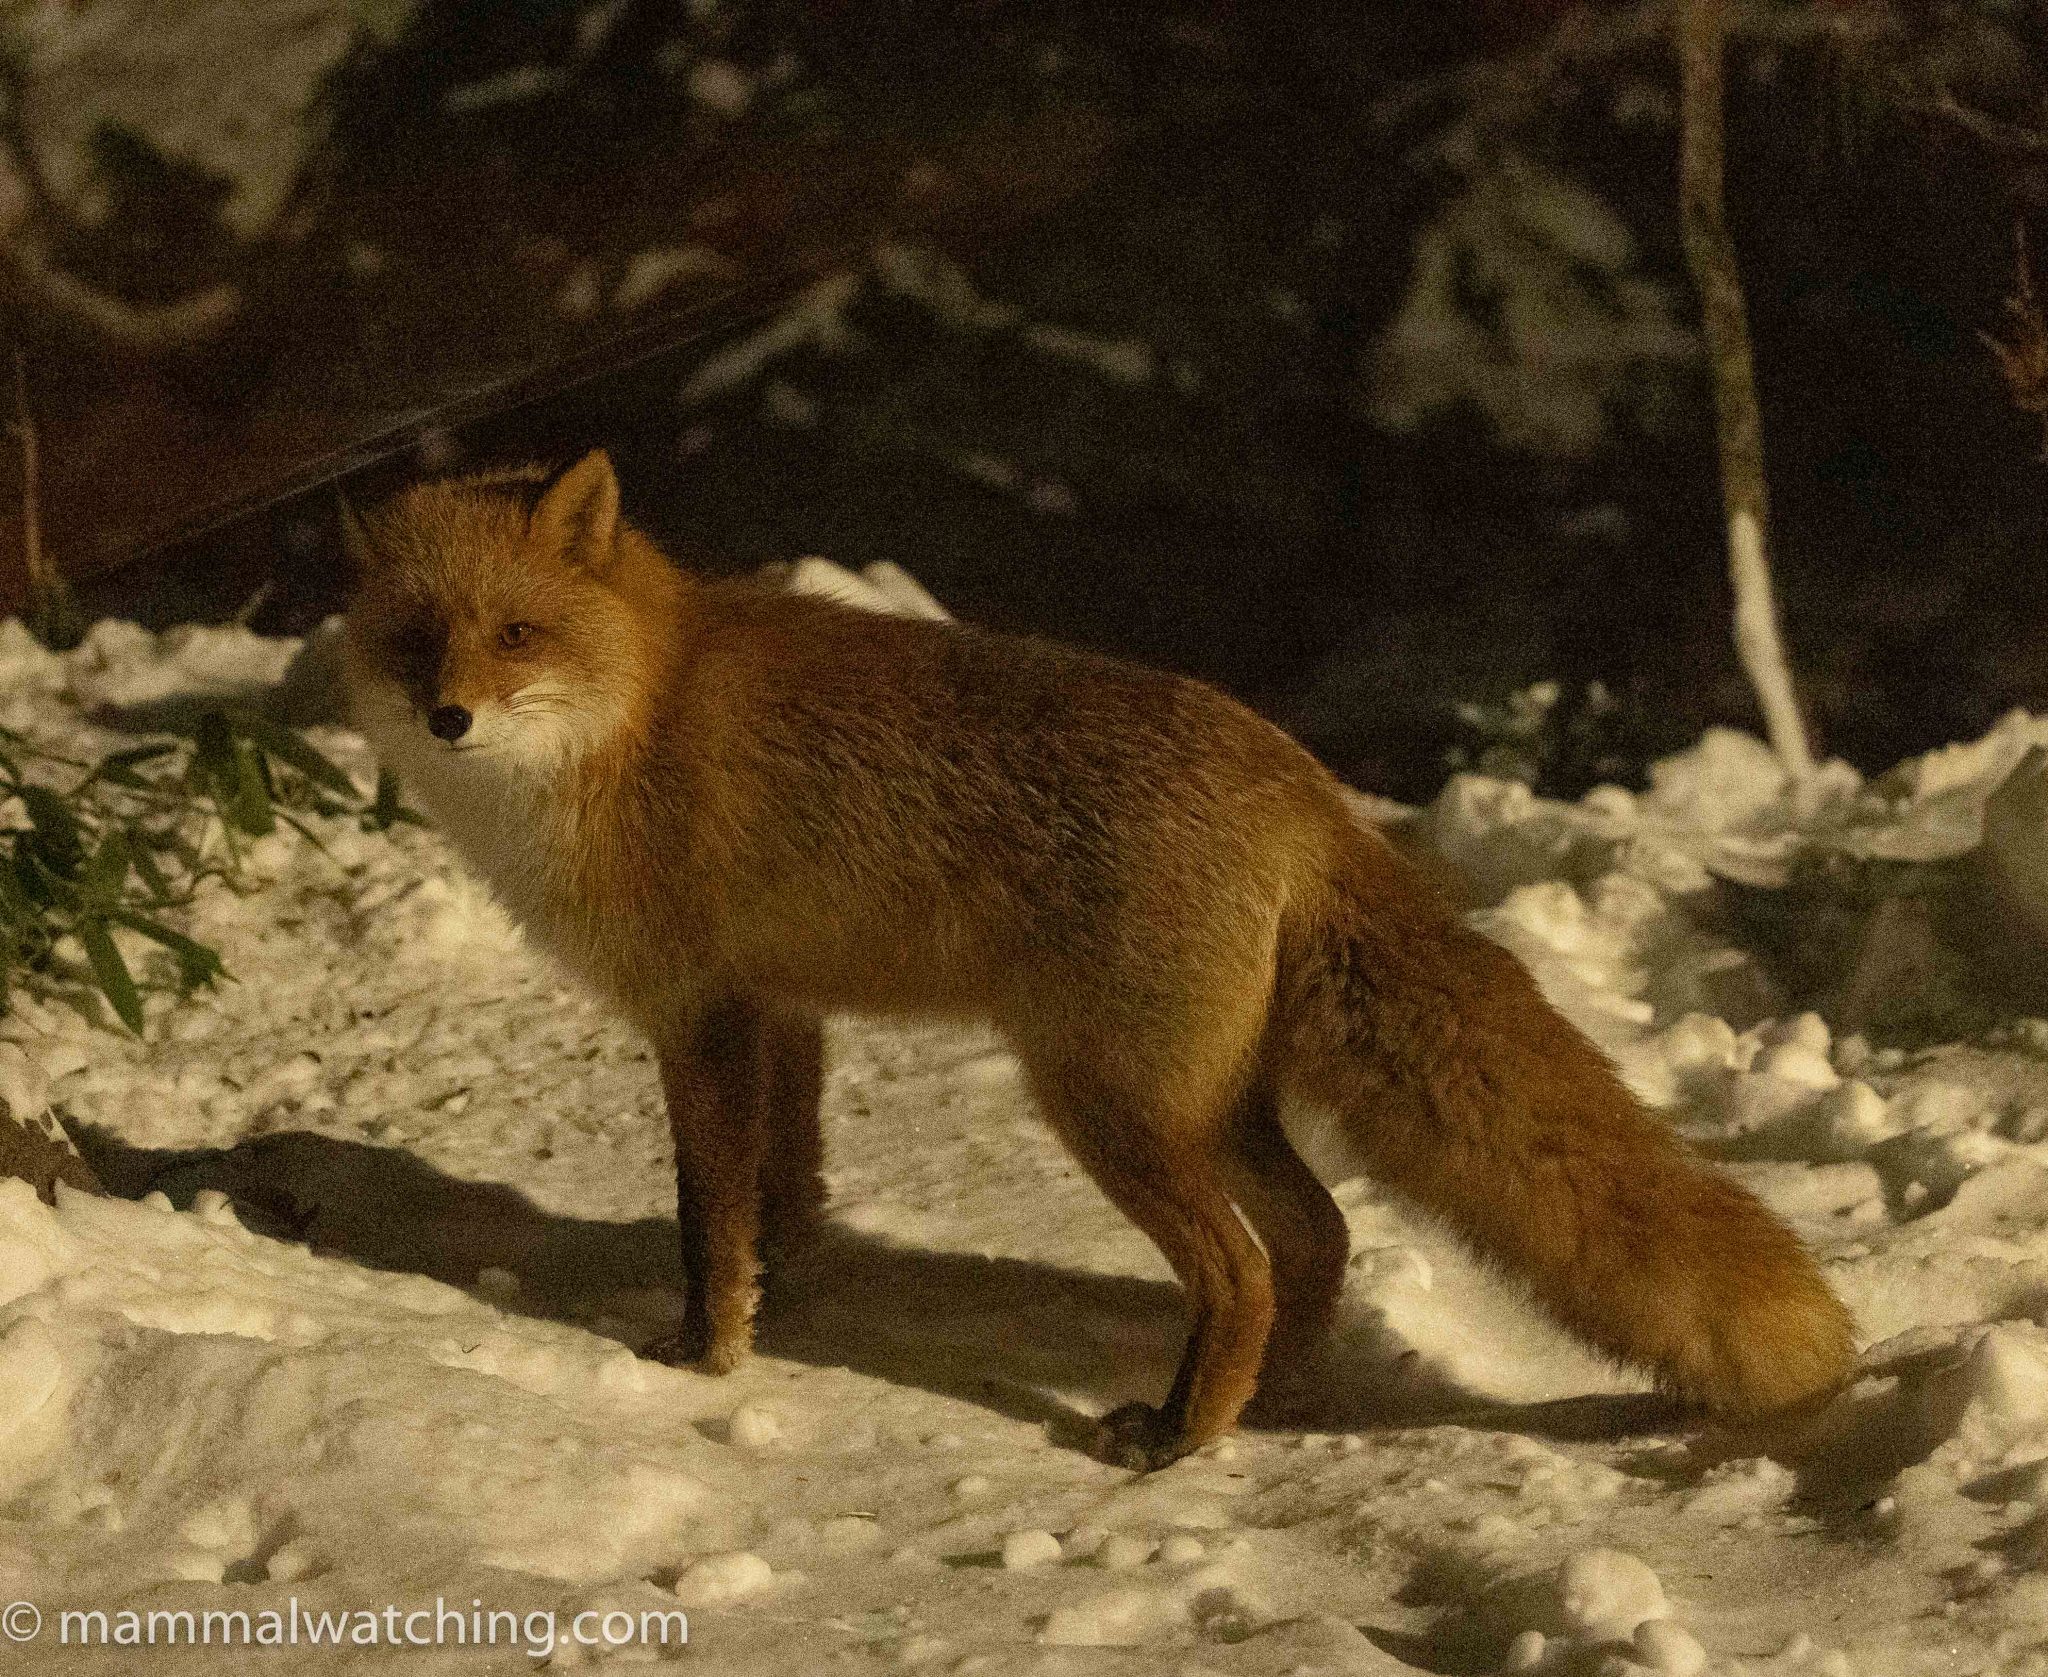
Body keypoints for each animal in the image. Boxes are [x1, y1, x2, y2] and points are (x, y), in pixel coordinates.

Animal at [348, 448, 1859, 1466]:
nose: (449, 716)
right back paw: (1268, 1407)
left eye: (518, 634)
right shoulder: (786, 1008)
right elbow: (788, 1189)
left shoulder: (701, 1013)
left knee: (1242, 1268)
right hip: (1209, 1102)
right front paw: (795, 1292)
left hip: (1106, 1103)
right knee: (1317, 1236)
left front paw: (706, 1359)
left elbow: (704, 1218)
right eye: (417, 637)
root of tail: (1296, 776)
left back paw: (1180, 1438)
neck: (628, 721)